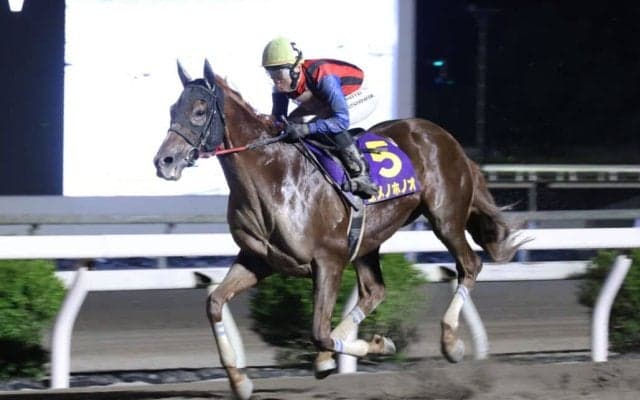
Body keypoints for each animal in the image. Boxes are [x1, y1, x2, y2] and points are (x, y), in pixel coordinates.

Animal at [153, 60, 523, 399]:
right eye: (172, 108)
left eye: (199, 111)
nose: (163, 162)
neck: (272, 175)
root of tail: (444, 136)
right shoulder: (258, 260)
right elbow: (215, 302)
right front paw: (240, 381)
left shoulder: (328, 261)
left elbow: (319, 330)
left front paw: (374, 346)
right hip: (369, 238)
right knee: (375, 291)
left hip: (445, 218)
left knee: (469, 265)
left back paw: (450, 342)